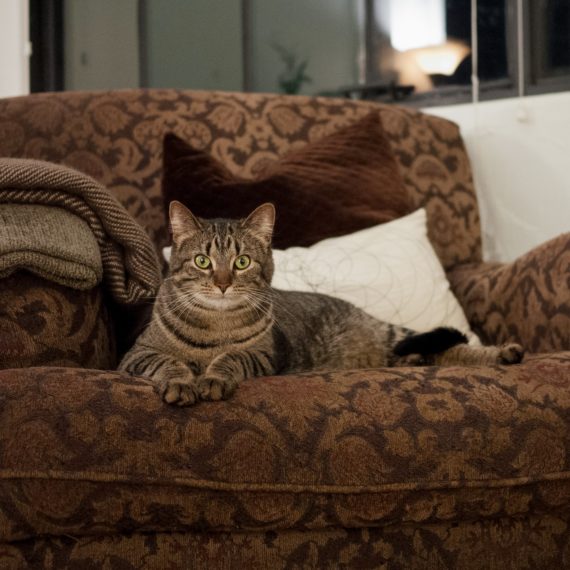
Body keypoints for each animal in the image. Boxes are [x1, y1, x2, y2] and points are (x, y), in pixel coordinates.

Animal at [120, 201, 524, 404]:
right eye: (203, 262)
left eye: (242, 262)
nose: (222, 284)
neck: (215, 326)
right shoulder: (137, 354)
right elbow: (169, 362)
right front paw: (182, 382)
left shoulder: (264, 354)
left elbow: (232, 358)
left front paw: (214, 377)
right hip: (399, 349)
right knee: (437, 353)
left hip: (392, 338)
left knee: (451, 347)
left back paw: (506, 353)